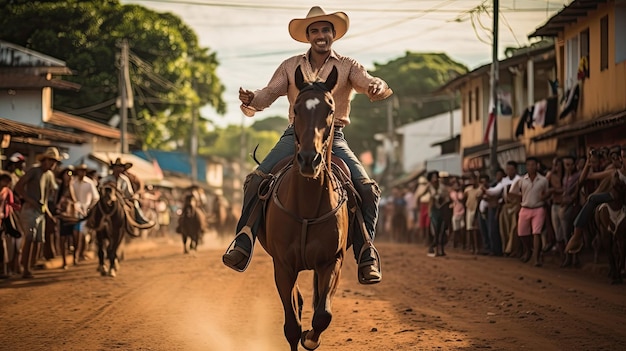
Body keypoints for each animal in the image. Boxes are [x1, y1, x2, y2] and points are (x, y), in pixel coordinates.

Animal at [255, 66, 352, 351]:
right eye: (297, 109)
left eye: (329, 109)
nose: (310, 159)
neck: (307, 206)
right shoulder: (282, 266)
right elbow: (291, 325)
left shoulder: (332, 261)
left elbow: (323, 314)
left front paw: (311, 338)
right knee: (297, 301)